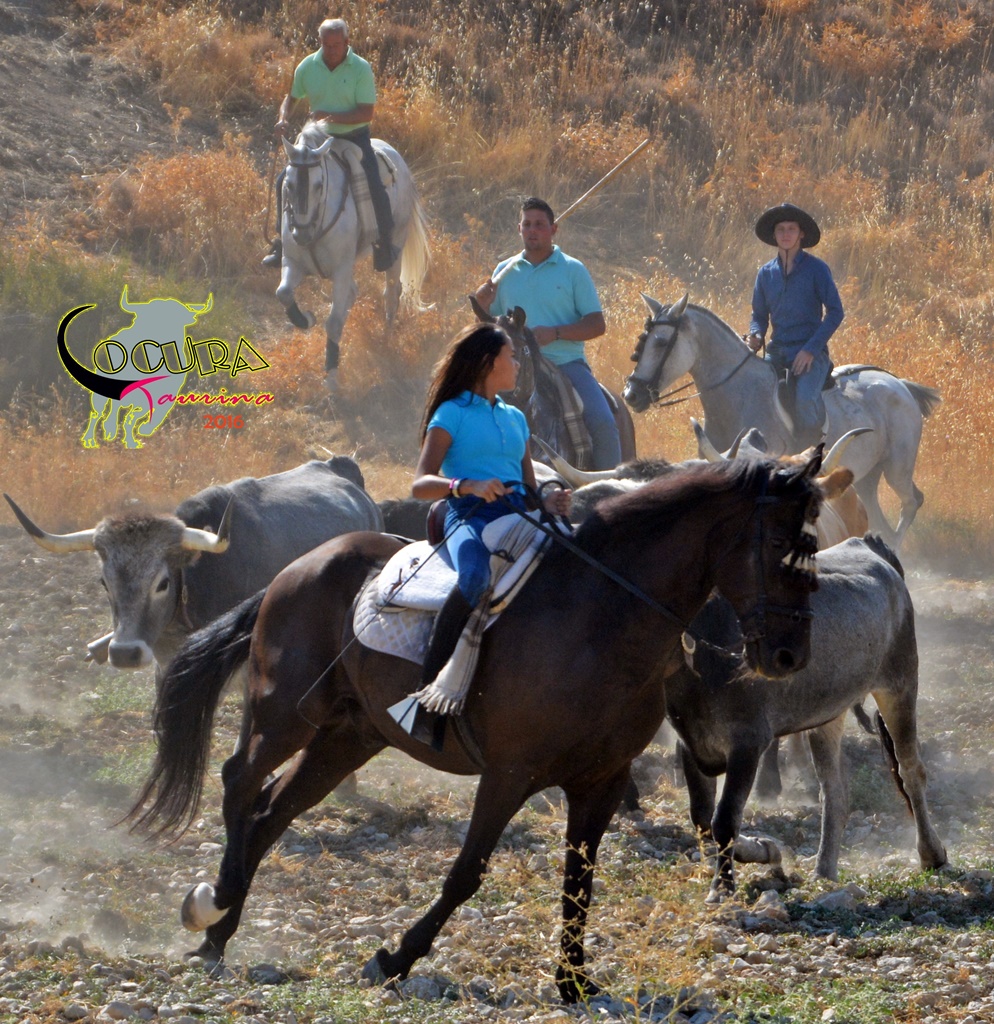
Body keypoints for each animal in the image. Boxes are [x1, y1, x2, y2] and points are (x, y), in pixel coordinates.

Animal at [127, 456, 823, 1003]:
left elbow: (579, 880)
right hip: (286, 714)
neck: (600, 618)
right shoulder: (510, 773)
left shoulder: (601, 780)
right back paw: (213, 903)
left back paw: (221, 933)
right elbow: (467, 873)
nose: (789, 656)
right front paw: (395, 957)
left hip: (350, 735)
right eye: (782, 551)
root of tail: (299, 567)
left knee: (274, 808)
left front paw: (573, 981)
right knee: (239, 782)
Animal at [277, 125, 431, 372]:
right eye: (288, 184)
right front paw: (307, 319)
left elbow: (334, 323)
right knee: (355, 291)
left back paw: (386, 340)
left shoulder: (341, 269)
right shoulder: (292, 262)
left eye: (319, 185)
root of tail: (398, 157)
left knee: (391, 294)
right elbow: (283, 293)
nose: (302, 234)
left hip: (396, 245)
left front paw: (331, 374)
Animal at [623, 294, 942, 547]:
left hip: (897, 468)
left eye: (661, 342)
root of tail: (899, 384)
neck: (739, 394)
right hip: (867, 478)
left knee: (912, 501)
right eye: (642, 340)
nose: (632, 394)